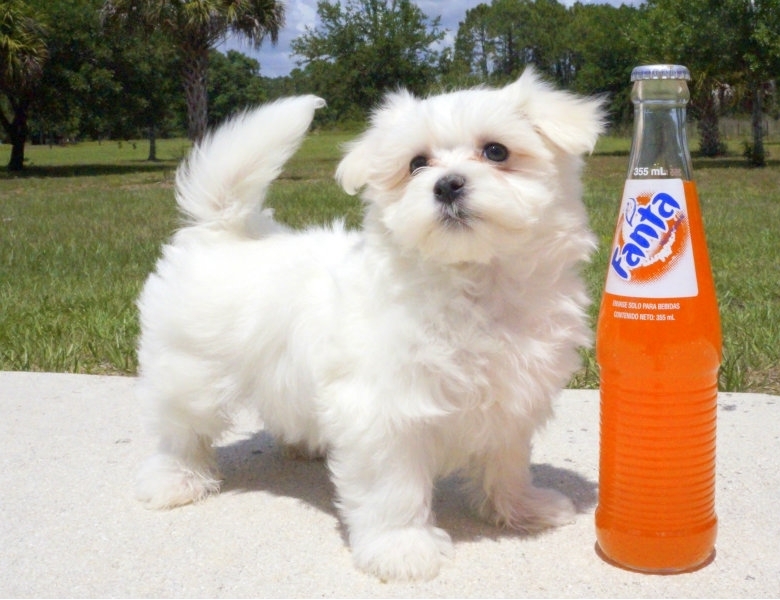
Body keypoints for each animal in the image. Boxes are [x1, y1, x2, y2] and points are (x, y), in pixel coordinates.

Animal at [134, 69, 604, 580]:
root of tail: (224, 229)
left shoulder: (511, 401)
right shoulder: (384, 411)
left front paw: (522, 507)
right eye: (417, 164)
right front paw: (402, 548)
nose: (447, 185)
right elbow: (393, 488)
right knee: (181, 431)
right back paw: (175, 481)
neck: (474, 280)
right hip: (189, 371)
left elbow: (507, 461)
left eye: (496, 151)